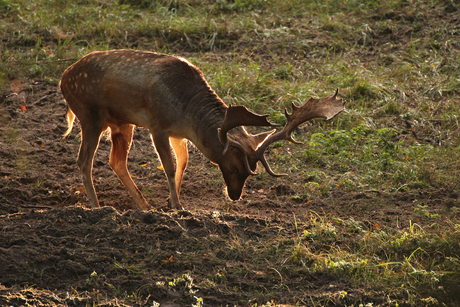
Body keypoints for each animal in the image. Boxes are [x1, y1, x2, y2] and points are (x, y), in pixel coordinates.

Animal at [59, 49, 344, 211]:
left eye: (252, 171)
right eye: (233, 167)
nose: (235, 195)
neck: (185, 112)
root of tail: (63, 78)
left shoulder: (178, 133)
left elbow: (184, 163)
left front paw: (170, 201)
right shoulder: (157, 124)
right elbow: (169, 165)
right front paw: (177, 205)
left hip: (121, 122)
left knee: (116, 161)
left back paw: (144, 206)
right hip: (90, 115)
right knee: (84, 160)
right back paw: (97, 207)